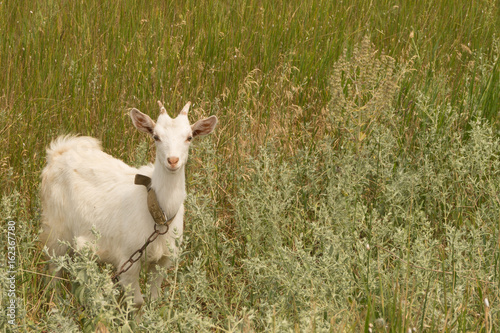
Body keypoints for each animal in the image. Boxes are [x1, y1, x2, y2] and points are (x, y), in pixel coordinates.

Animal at [39, 100, 217, 304]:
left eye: (189, 137)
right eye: (156, 136)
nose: (173, 160)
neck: (156, 211)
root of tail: (58, 153)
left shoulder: (164, 260)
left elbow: (154, 299)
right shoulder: (127, 259)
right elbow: (137, 302)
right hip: (55, 231)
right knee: (53, 270)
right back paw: (55, 302)